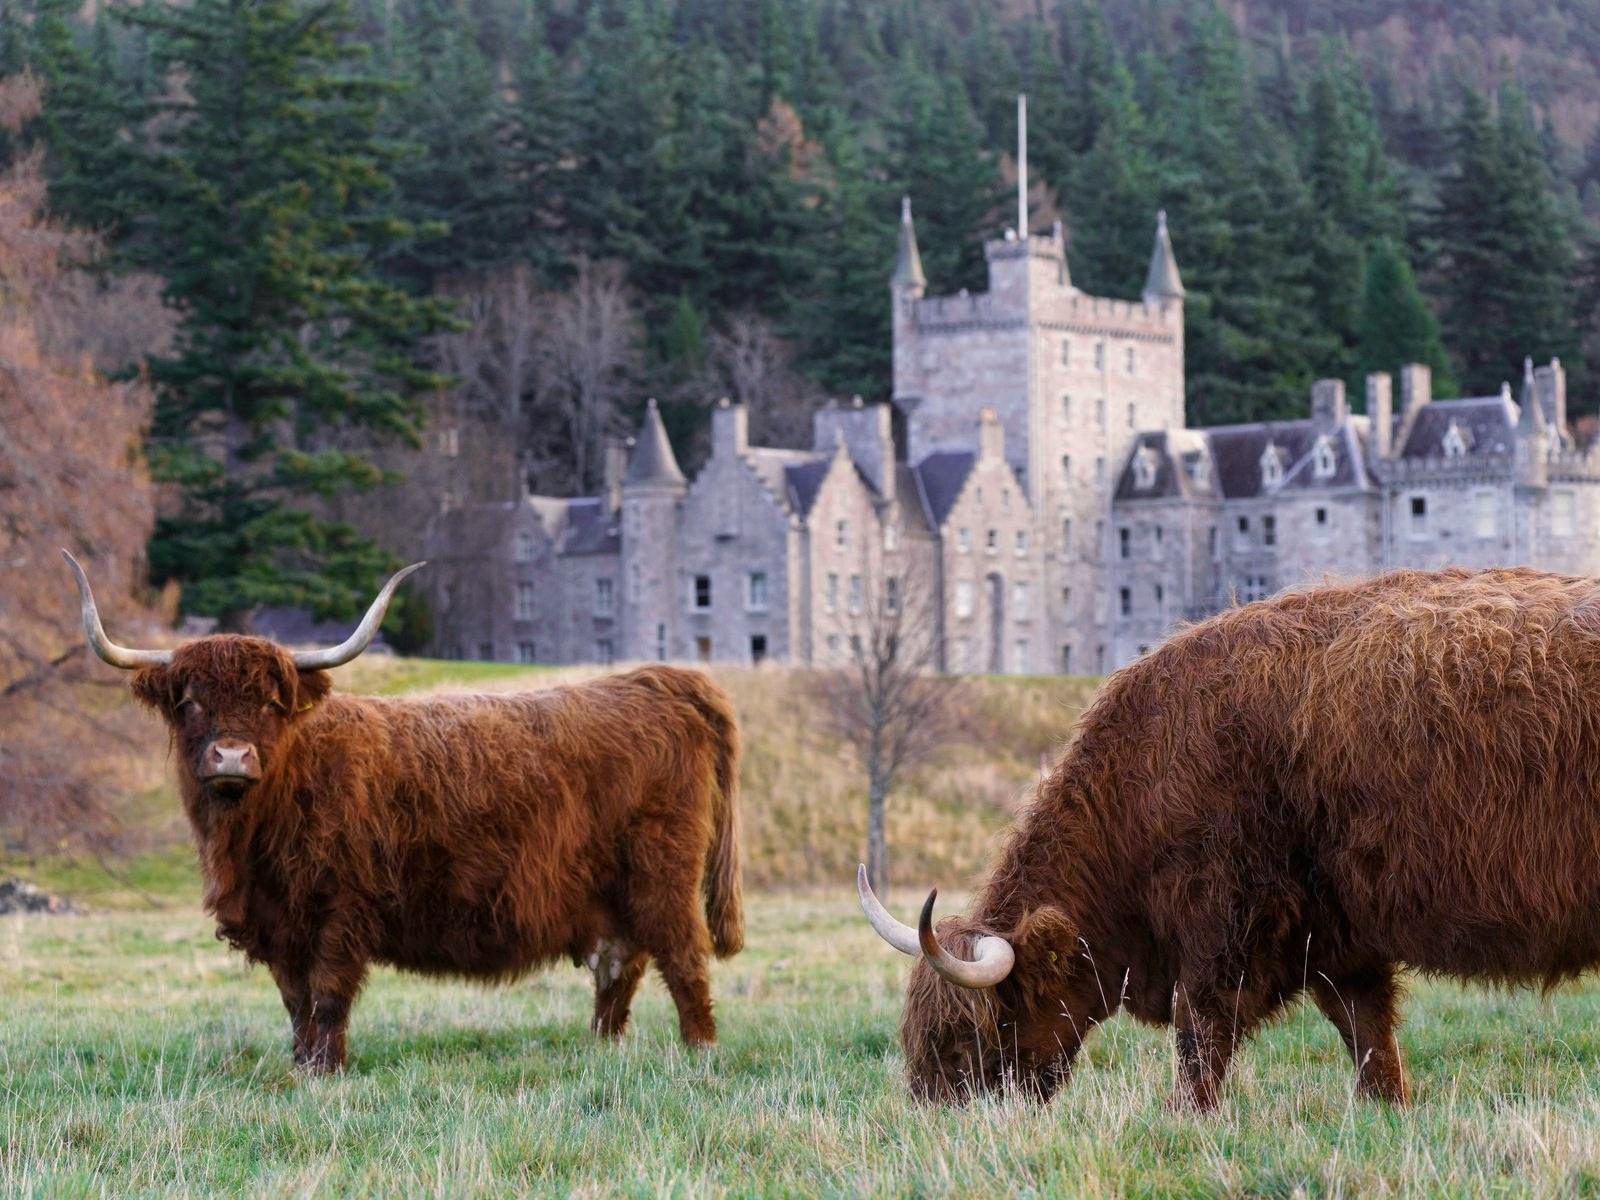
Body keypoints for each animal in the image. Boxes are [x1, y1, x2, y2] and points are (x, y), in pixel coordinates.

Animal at [64, 552, 743, 1072]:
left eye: (270, 703)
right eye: (192, 702)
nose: (231, 756)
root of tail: (657, 681)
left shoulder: (343, 907)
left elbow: (328, 994)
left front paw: (326, 1072)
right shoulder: (279, 920)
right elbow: (294, 1000)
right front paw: (301, 1064)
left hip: (661, 874)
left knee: (683, 958)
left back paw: (700, 1054)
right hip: (613, 894)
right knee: (617, 965)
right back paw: (601, 1051)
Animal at [860, 566, 1600, 1110]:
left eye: (972, 1035)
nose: (929, 1112)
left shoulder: (1226, 920)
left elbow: (1203, 1030)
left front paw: (1183, 1114)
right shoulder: (1339, 935)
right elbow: (1364, 1027)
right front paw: (1386, 1104)